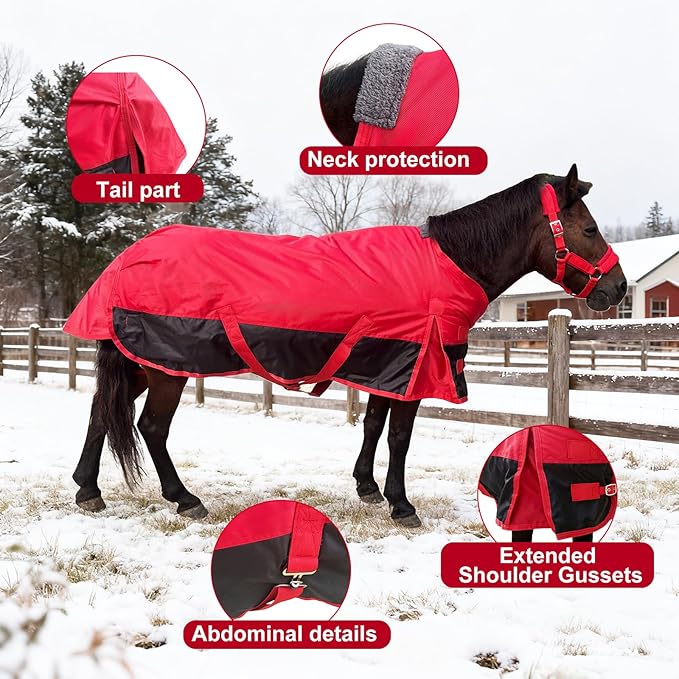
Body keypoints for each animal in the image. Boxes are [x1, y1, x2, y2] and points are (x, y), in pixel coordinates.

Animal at [69, 165, 627, 529]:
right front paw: (402, 505)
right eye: (588, 228)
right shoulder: (413, 370)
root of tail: (127, 260)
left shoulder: (386, 364)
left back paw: (88, 491)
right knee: (151, 428)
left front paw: (367, 489)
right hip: (167, 367)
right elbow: (399, 437)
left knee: (100, 414)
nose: (618, 289)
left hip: (140, 363)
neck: (447, 262)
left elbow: (374, 426)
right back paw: (184, 499)